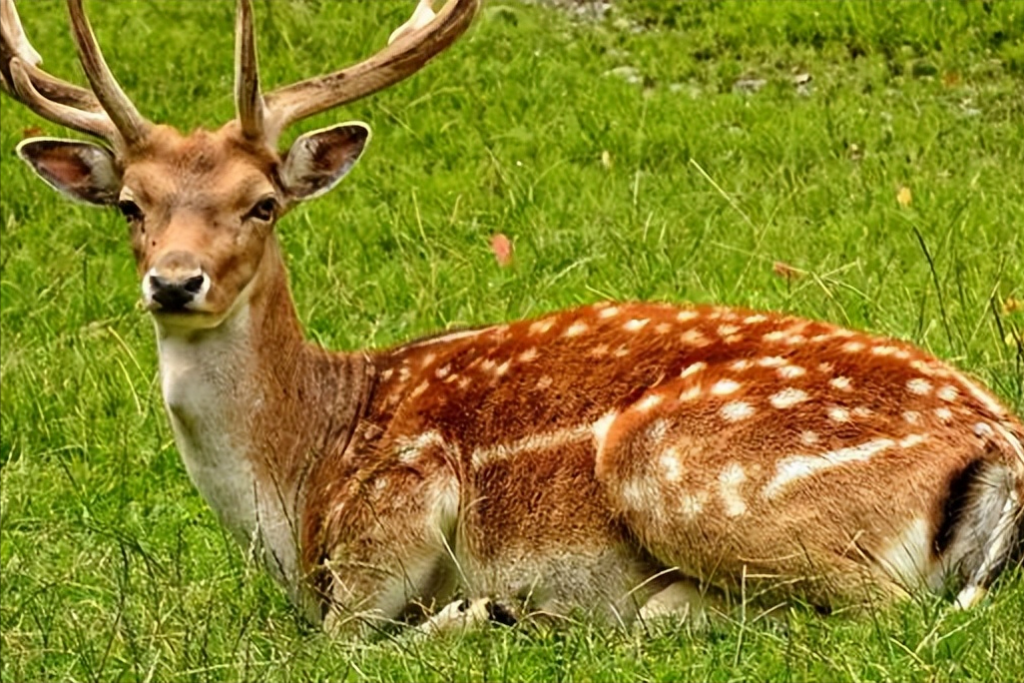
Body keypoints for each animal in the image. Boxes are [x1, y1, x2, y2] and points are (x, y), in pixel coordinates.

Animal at [2, 0, 1024, 634]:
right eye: (130, 204)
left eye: (262, 203)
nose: (175, 282)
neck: (295, 484)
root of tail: (996, 442)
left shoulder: (396, 501)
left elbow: (336, 640)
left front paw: (474, 612)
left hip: (680, 466)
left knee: (880, 611)